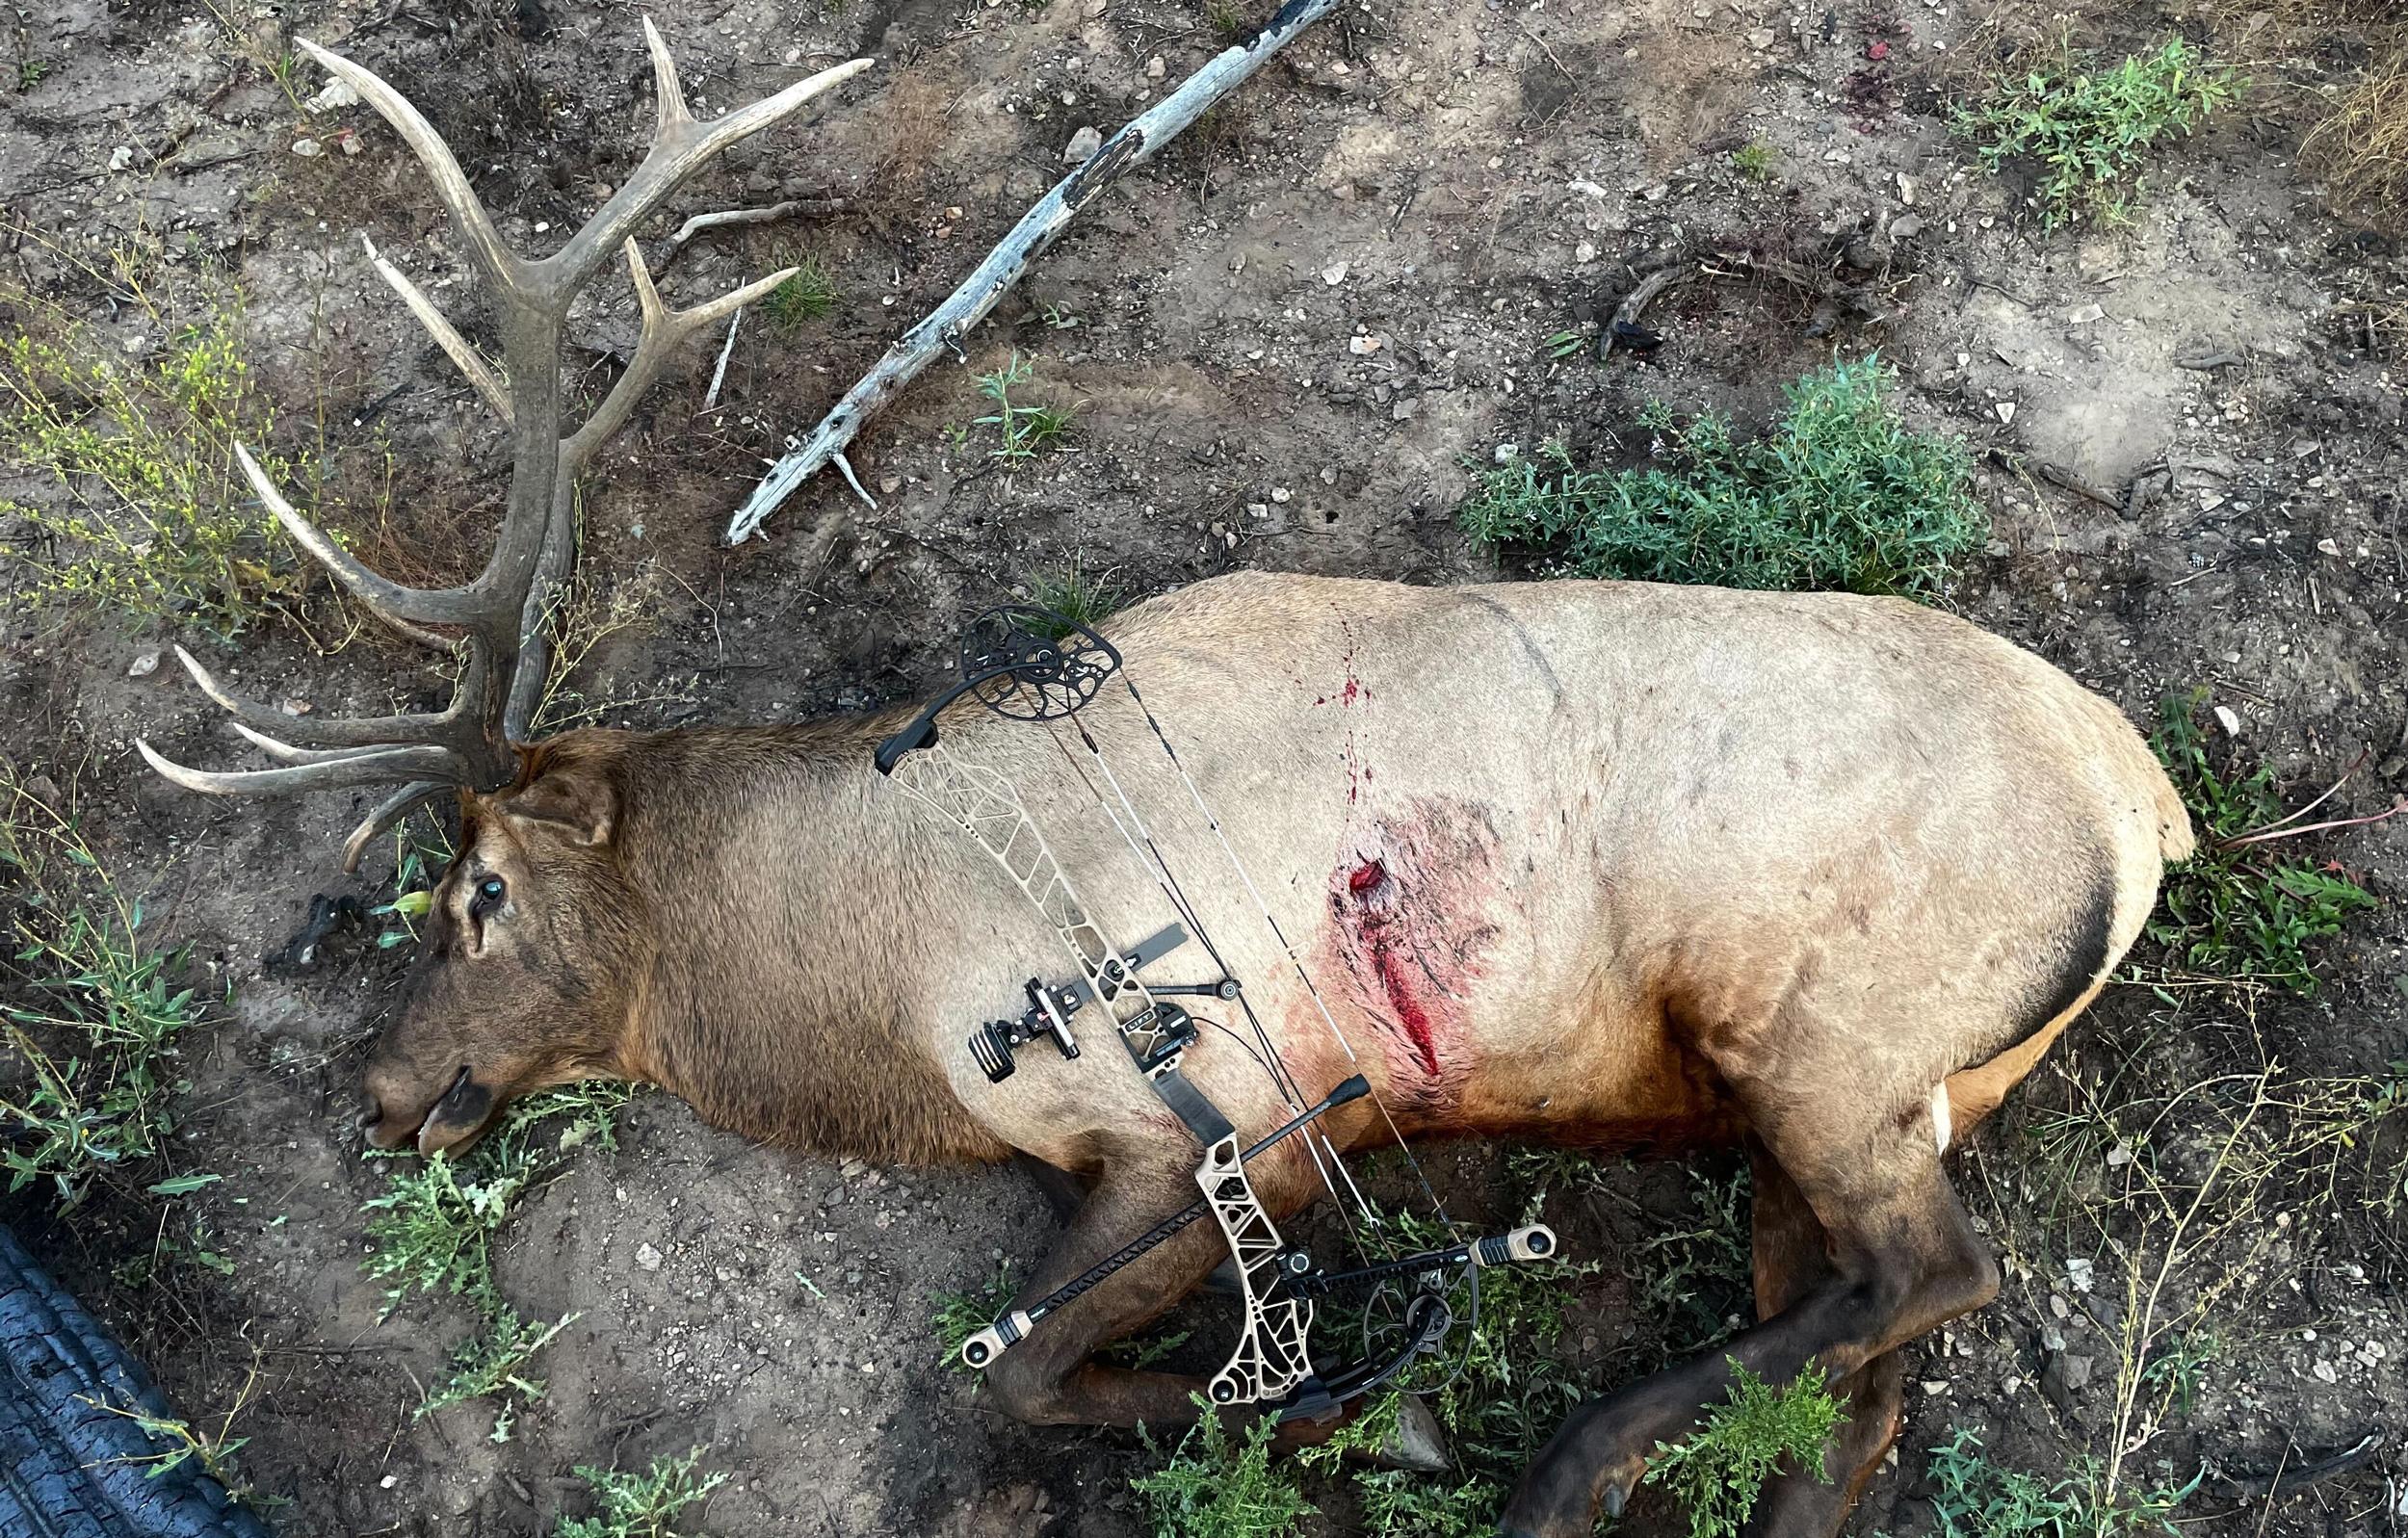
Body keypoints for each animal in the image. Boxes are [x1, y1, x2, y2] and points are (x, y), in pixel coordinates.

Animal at [134, 24, 2196, 1538]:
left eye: (476, 890)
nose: (383, 1091)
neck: (870, 972)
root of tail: (2147, 806)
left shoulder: (1221, 1121)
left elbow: (1010, 1366)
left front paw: (1354, 1415)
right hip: (1857, 1100)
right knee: (1854, 1403)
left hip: (1824, 1028)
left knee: (1934, 1278)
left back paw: (1561, 1461)